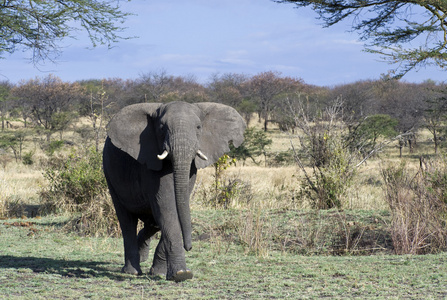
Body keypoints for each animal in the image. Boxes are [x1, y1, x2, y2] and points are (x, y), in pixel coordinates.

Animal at [103, 101, 247, 282]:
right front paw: (181, 274)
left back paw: (142, 255)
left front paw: (160, 272)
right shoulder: (149, 159)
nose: (189, 247)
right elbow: (167, 207)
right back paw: (132, 271)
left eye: (199, 127)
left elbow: (175, 207)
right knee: (126, 219)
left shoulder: (191, 169)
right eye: (162, 128)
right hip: (110, 174)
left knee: (152, 221)